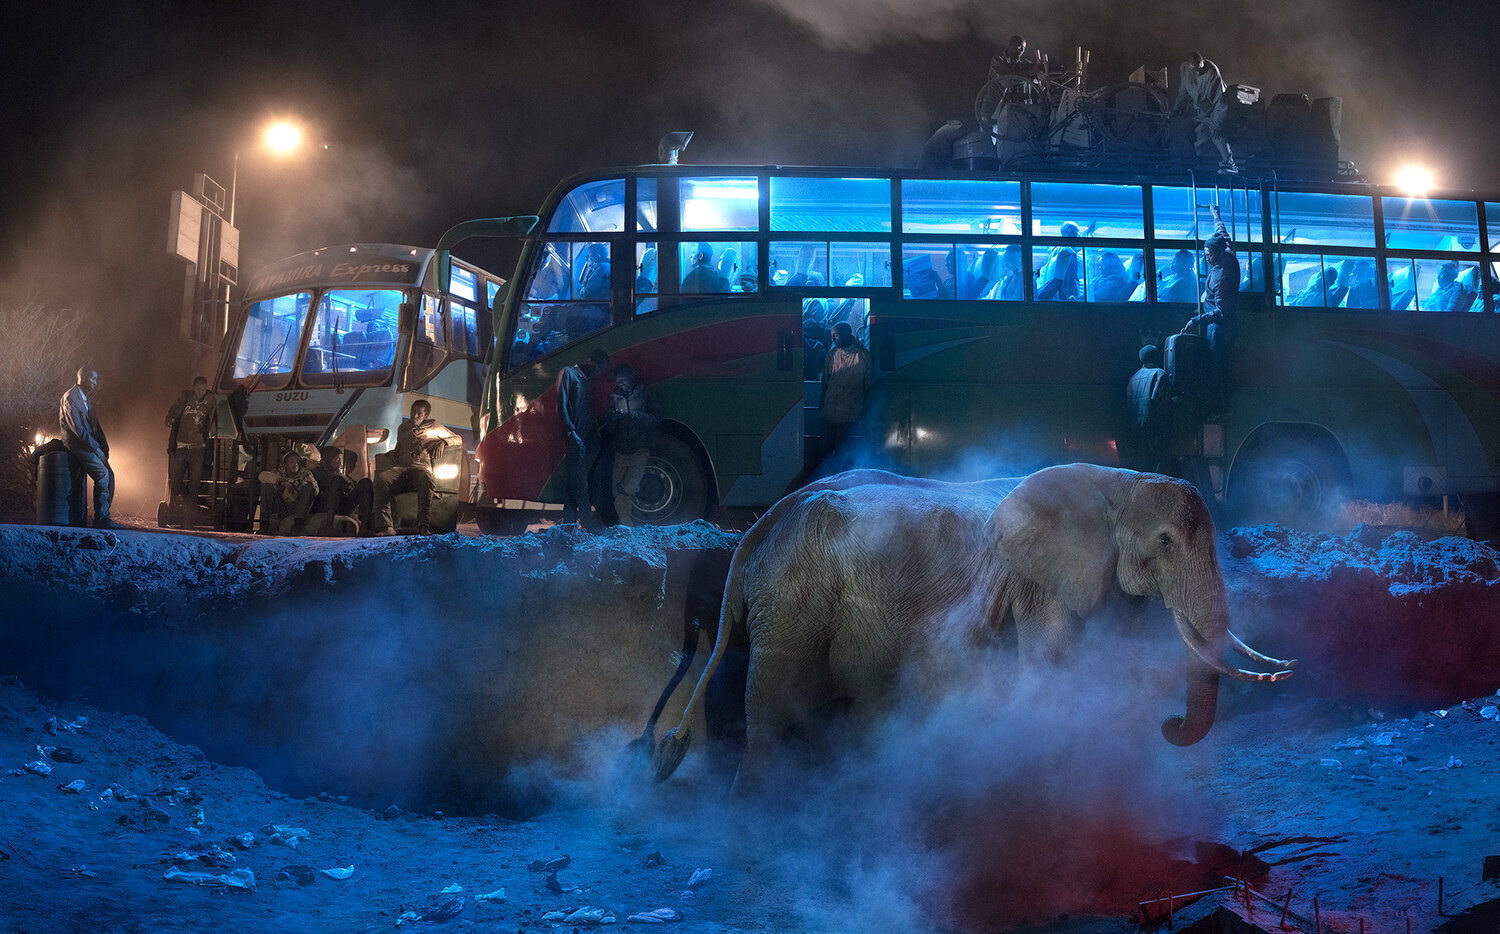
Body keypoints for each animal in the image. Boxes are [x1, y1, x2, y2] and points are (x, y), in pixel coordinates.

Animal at [651, 464, 1296, 785]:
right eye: (1164, 542)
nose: (1169, 726)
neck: (1118, 481)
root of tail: (764, 522)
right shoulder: (1038, 580)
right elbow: (1050, 662)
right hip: (792, 600)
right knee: (772, 704)